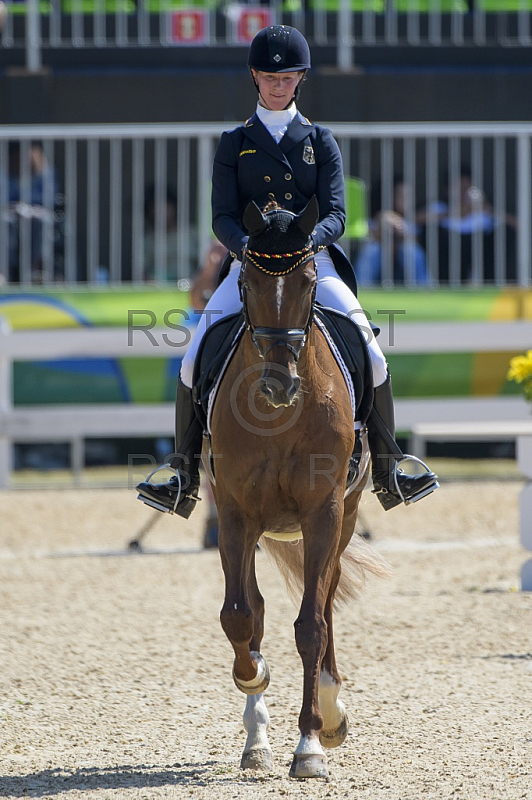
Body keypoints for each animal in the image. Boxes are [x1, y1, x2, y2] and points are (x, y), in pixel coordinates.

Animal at [207, 197, 386, 780]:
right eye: (246, 282)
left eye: (308, 282)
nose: (279, 385)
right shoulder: (235, 514)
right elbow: (239, 616)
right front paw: (254, 678)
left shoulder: (323, 513)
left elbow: (311, 626)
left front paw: (310, 743)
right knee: (255, 607)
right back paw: (256, 738)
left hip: (344, 519)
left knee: (325, 603)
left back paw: (330, 713)